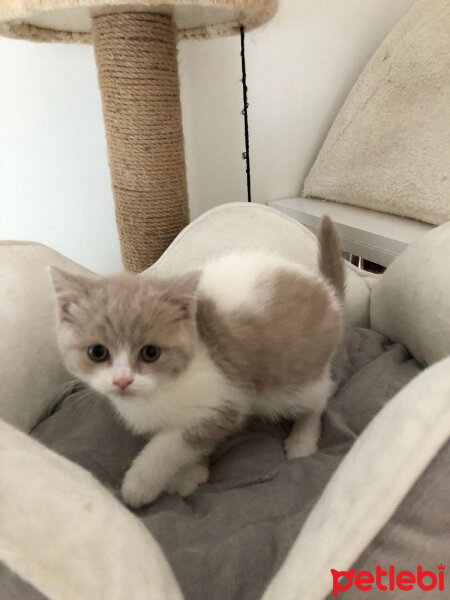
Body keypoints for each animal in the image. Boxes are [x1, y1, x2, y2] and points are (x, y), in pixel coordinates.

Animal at [48, 216, 344, 506]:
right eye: (97, 352)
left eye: (150, 353)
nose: (122, 381)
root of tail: (326, 291)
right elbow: (185, 444)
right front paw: (190, 474)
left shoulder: (226, 401)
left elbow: (169, 445)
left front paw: (139, 484)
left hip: (292, 380)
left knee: (319, 398)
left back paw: (303, 440)